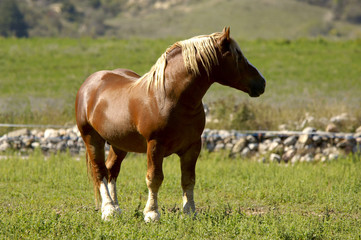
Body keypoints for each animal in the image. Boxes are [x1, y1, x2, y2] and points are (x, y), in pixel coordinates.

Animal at [74, 27, 264, 222]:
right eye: (238, 57)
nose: (262, 83)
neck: (169, 97)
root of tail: (89, 84)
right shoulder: (155, 145)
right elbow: (154, 178)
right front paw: (152, 213)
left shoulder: (192, 146)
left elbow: (188, 179)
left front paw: (189, 212)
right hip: (92, 139)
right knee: (100, 171)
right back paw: (109, 210)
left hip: (119, 144)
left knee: (112, 170)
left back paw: (117, 208)